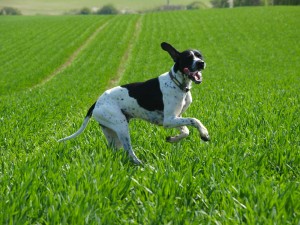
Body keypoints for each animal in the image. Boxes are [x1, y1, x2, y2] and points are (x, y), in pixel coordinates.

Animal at [58, 42, 209, 164]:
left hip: (112, 132)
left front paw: (173, 139)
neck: (177, 83)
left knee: (115, 150)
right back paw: (145, 166)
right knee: (129, 153)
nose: (201, 63)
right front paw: (204, 133)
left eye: (199, 56)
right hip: (122, 127)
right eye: (188, 57)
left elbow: (186, 131)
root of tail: (97, 102)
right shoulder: (168, 120)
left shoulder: (175, 118)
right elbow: (194, 120)